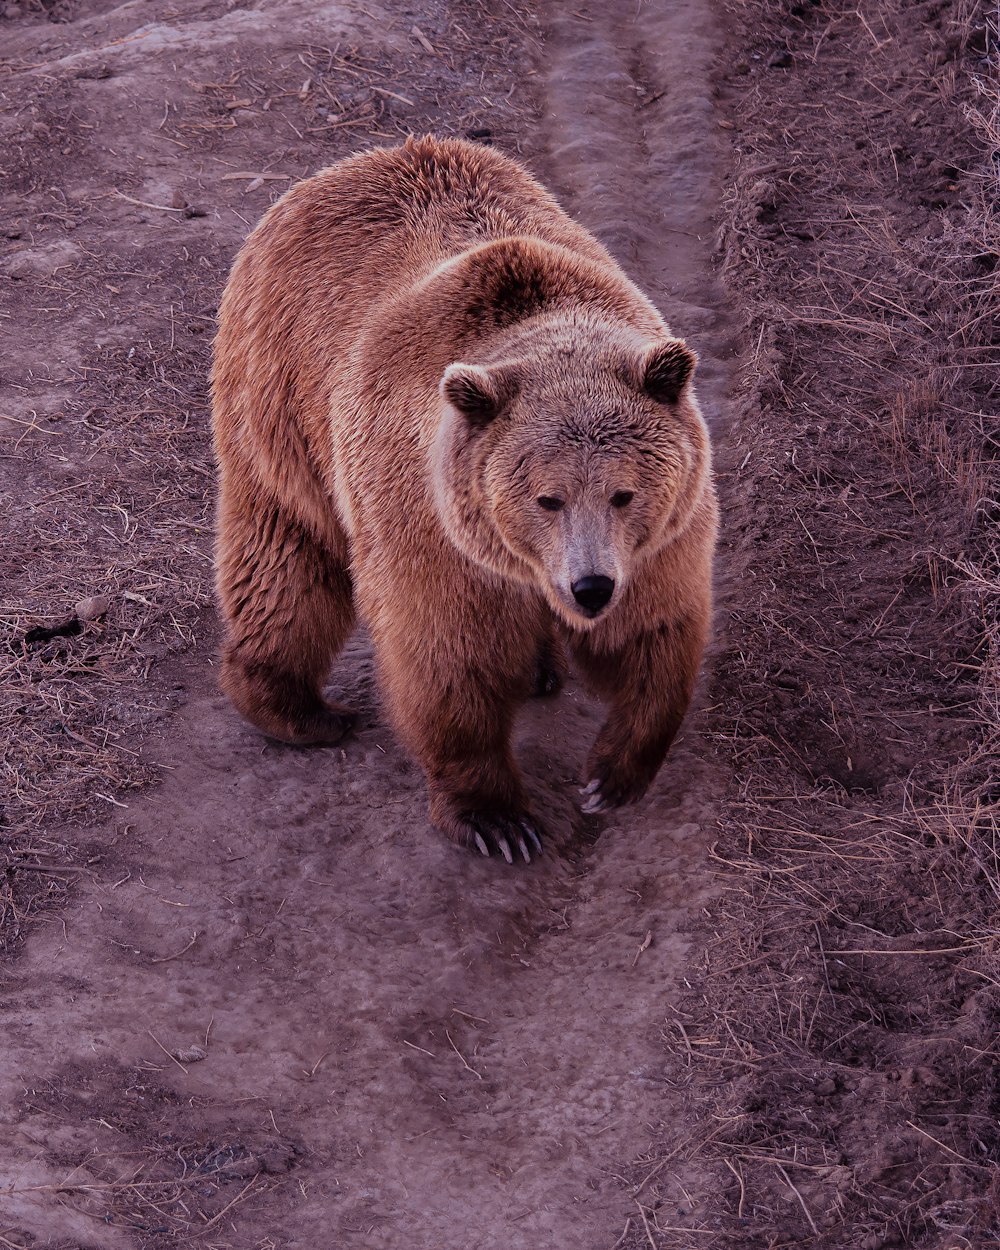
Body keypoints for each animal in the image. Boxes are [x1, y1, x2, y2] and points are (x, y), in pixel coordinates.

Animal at [212, 134, 720, 860]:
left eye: (624, 494)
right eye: (547, 499)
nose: (590, 587)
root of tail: (356, 161)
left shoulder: (661, 538)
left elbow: (653, 631)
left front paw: (611, 776)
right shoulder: (429, 519)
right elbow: (448, 653)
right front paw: (499, 820)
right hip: (281, 399)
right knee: (288, 554)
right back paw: (300, 709)